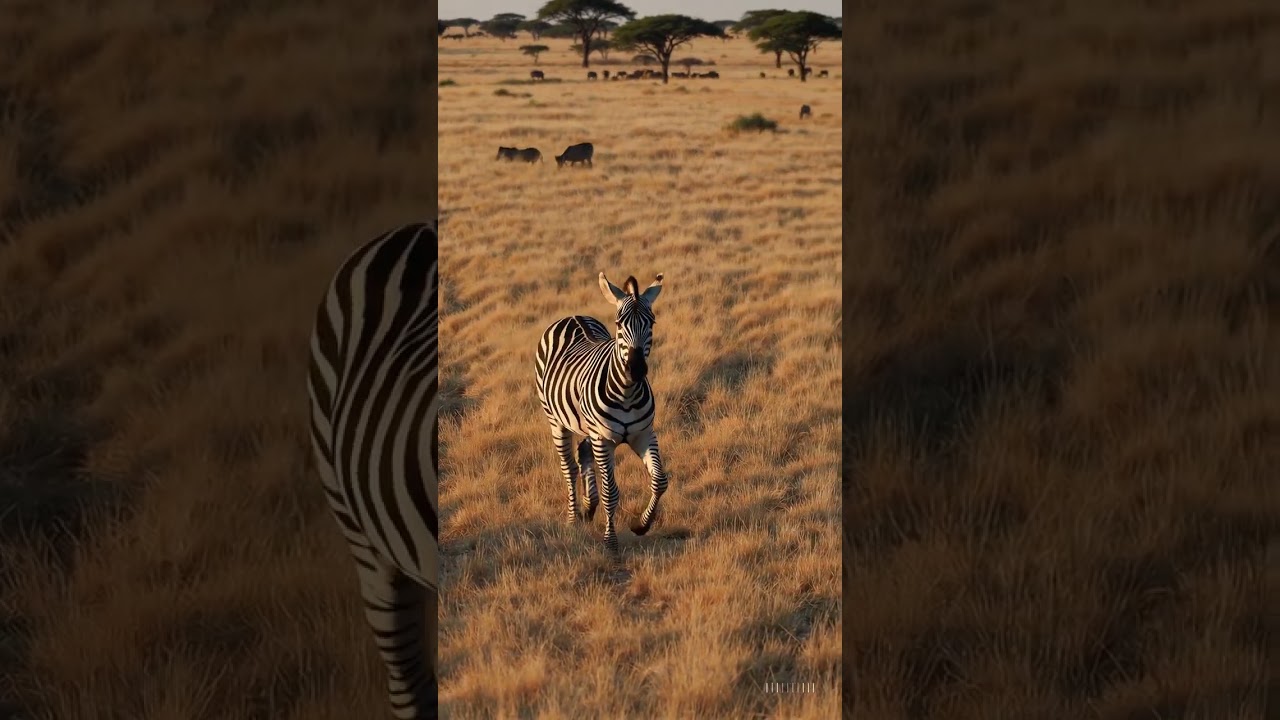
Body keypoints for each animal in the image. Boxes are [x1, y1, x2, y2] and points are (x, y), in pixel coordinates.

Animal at [534, 272, 670, 556]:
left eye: (651, 322)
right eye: (619, 323)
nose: (636, 370)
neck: (627, 393)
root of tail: (571, 316)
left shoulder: (644, 434)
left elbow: (659, 481)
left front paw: (642, 524)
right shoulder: (604, 439)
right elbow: (611, 493)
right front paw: (611, 543)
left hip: (586, 427)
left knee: (583, 454)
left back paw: (588, 507)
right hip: (557, 421)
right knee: (569, 467)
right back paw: (573, 518)